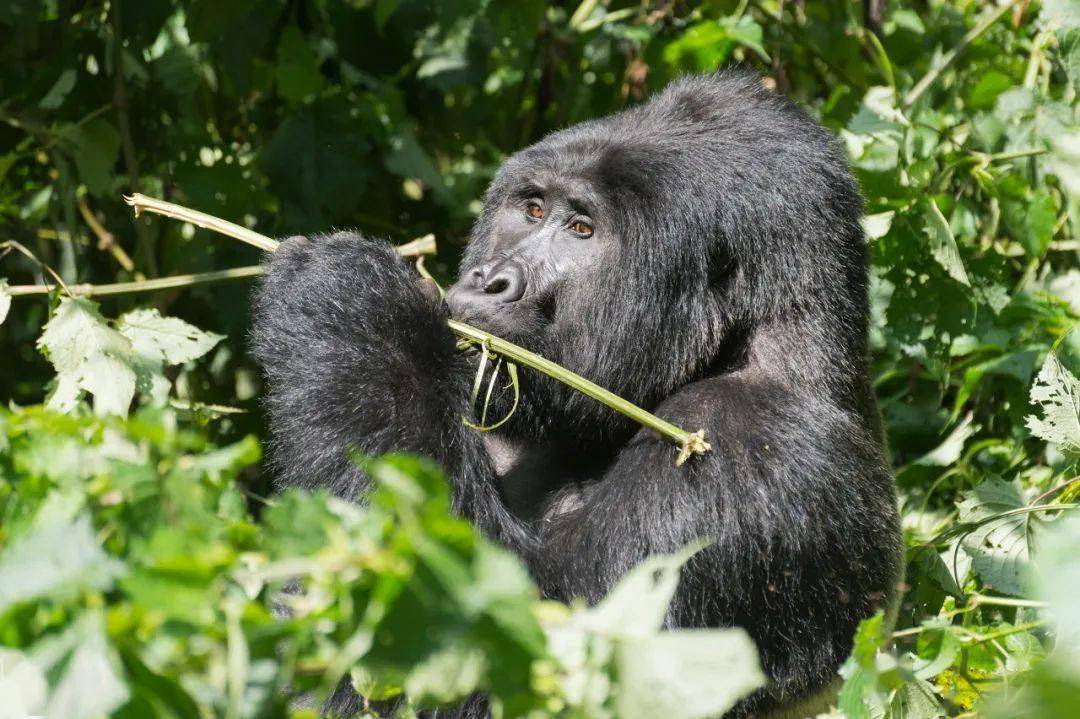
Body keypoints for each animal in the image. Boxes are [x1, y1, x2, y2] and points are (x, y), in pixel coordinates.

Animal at [250, 68, 902, 716]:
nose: (490, 281)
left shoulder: (748, 440)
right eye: (532, 209)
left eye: (582, 229)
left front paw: (352, 309)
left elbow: (527, 657)